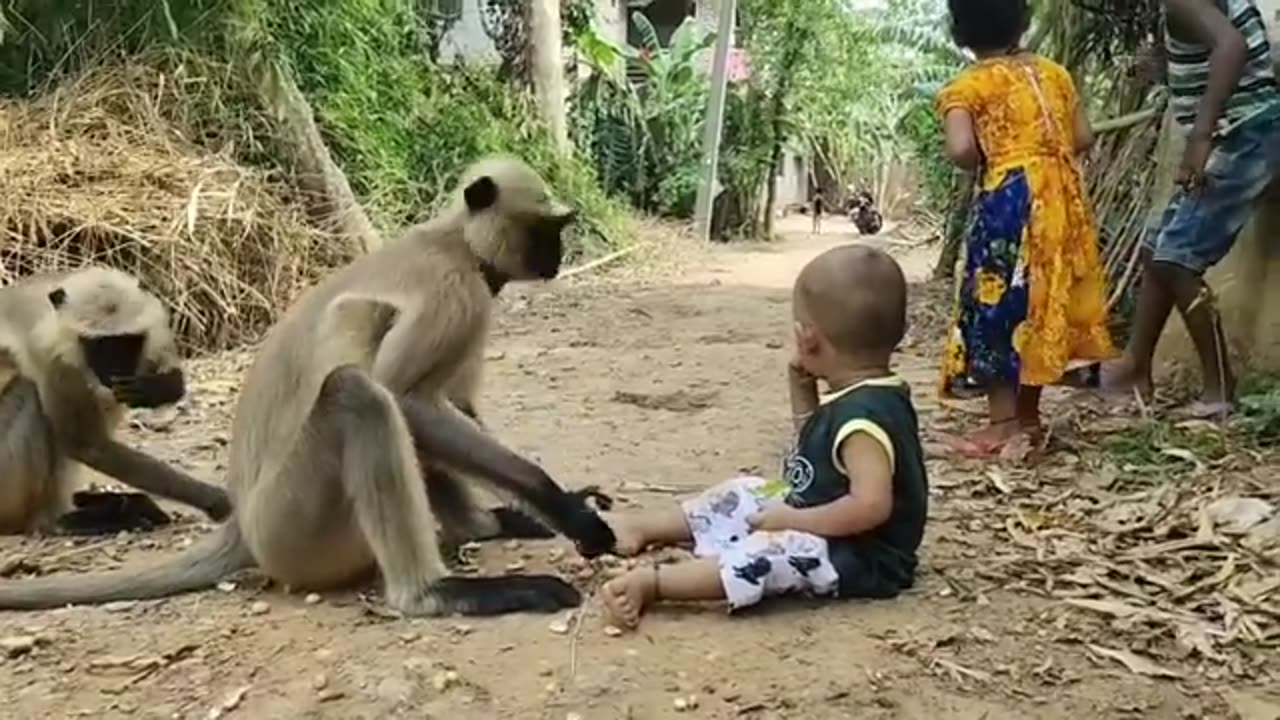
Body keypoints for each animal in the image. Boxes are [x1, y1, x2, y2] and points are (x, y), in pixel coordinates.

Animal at [0, 266, 232, 535]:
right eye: (100, 347)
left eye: (127, 344)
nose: (114, 369)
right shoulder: (48, 353)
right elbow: (89, 446)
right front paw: (213, 499)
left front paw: (161, 387)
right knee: (29, 389)